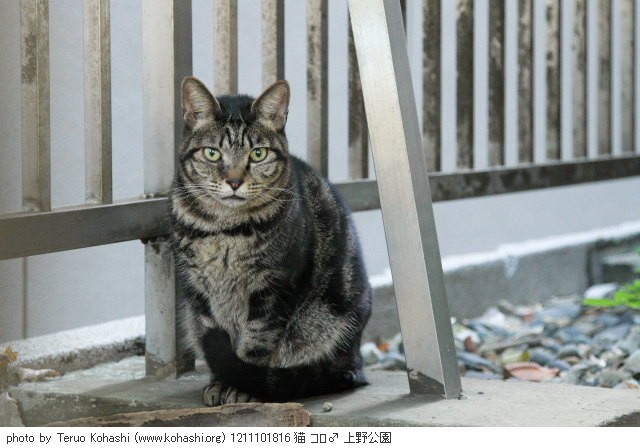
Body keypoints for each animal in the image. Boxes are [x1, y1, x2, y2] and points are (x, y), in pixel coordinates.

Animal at [169, 76, 372, 406]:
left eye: (258, 154)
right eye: (212, 153)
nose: (234, 181)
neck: (225, 231)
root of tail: (358, 360)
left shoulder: (274, 288)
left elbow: (255, 342)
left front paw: (242, 386)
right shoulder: (200, 293)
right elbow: (213, 333)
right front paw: (219, 383)